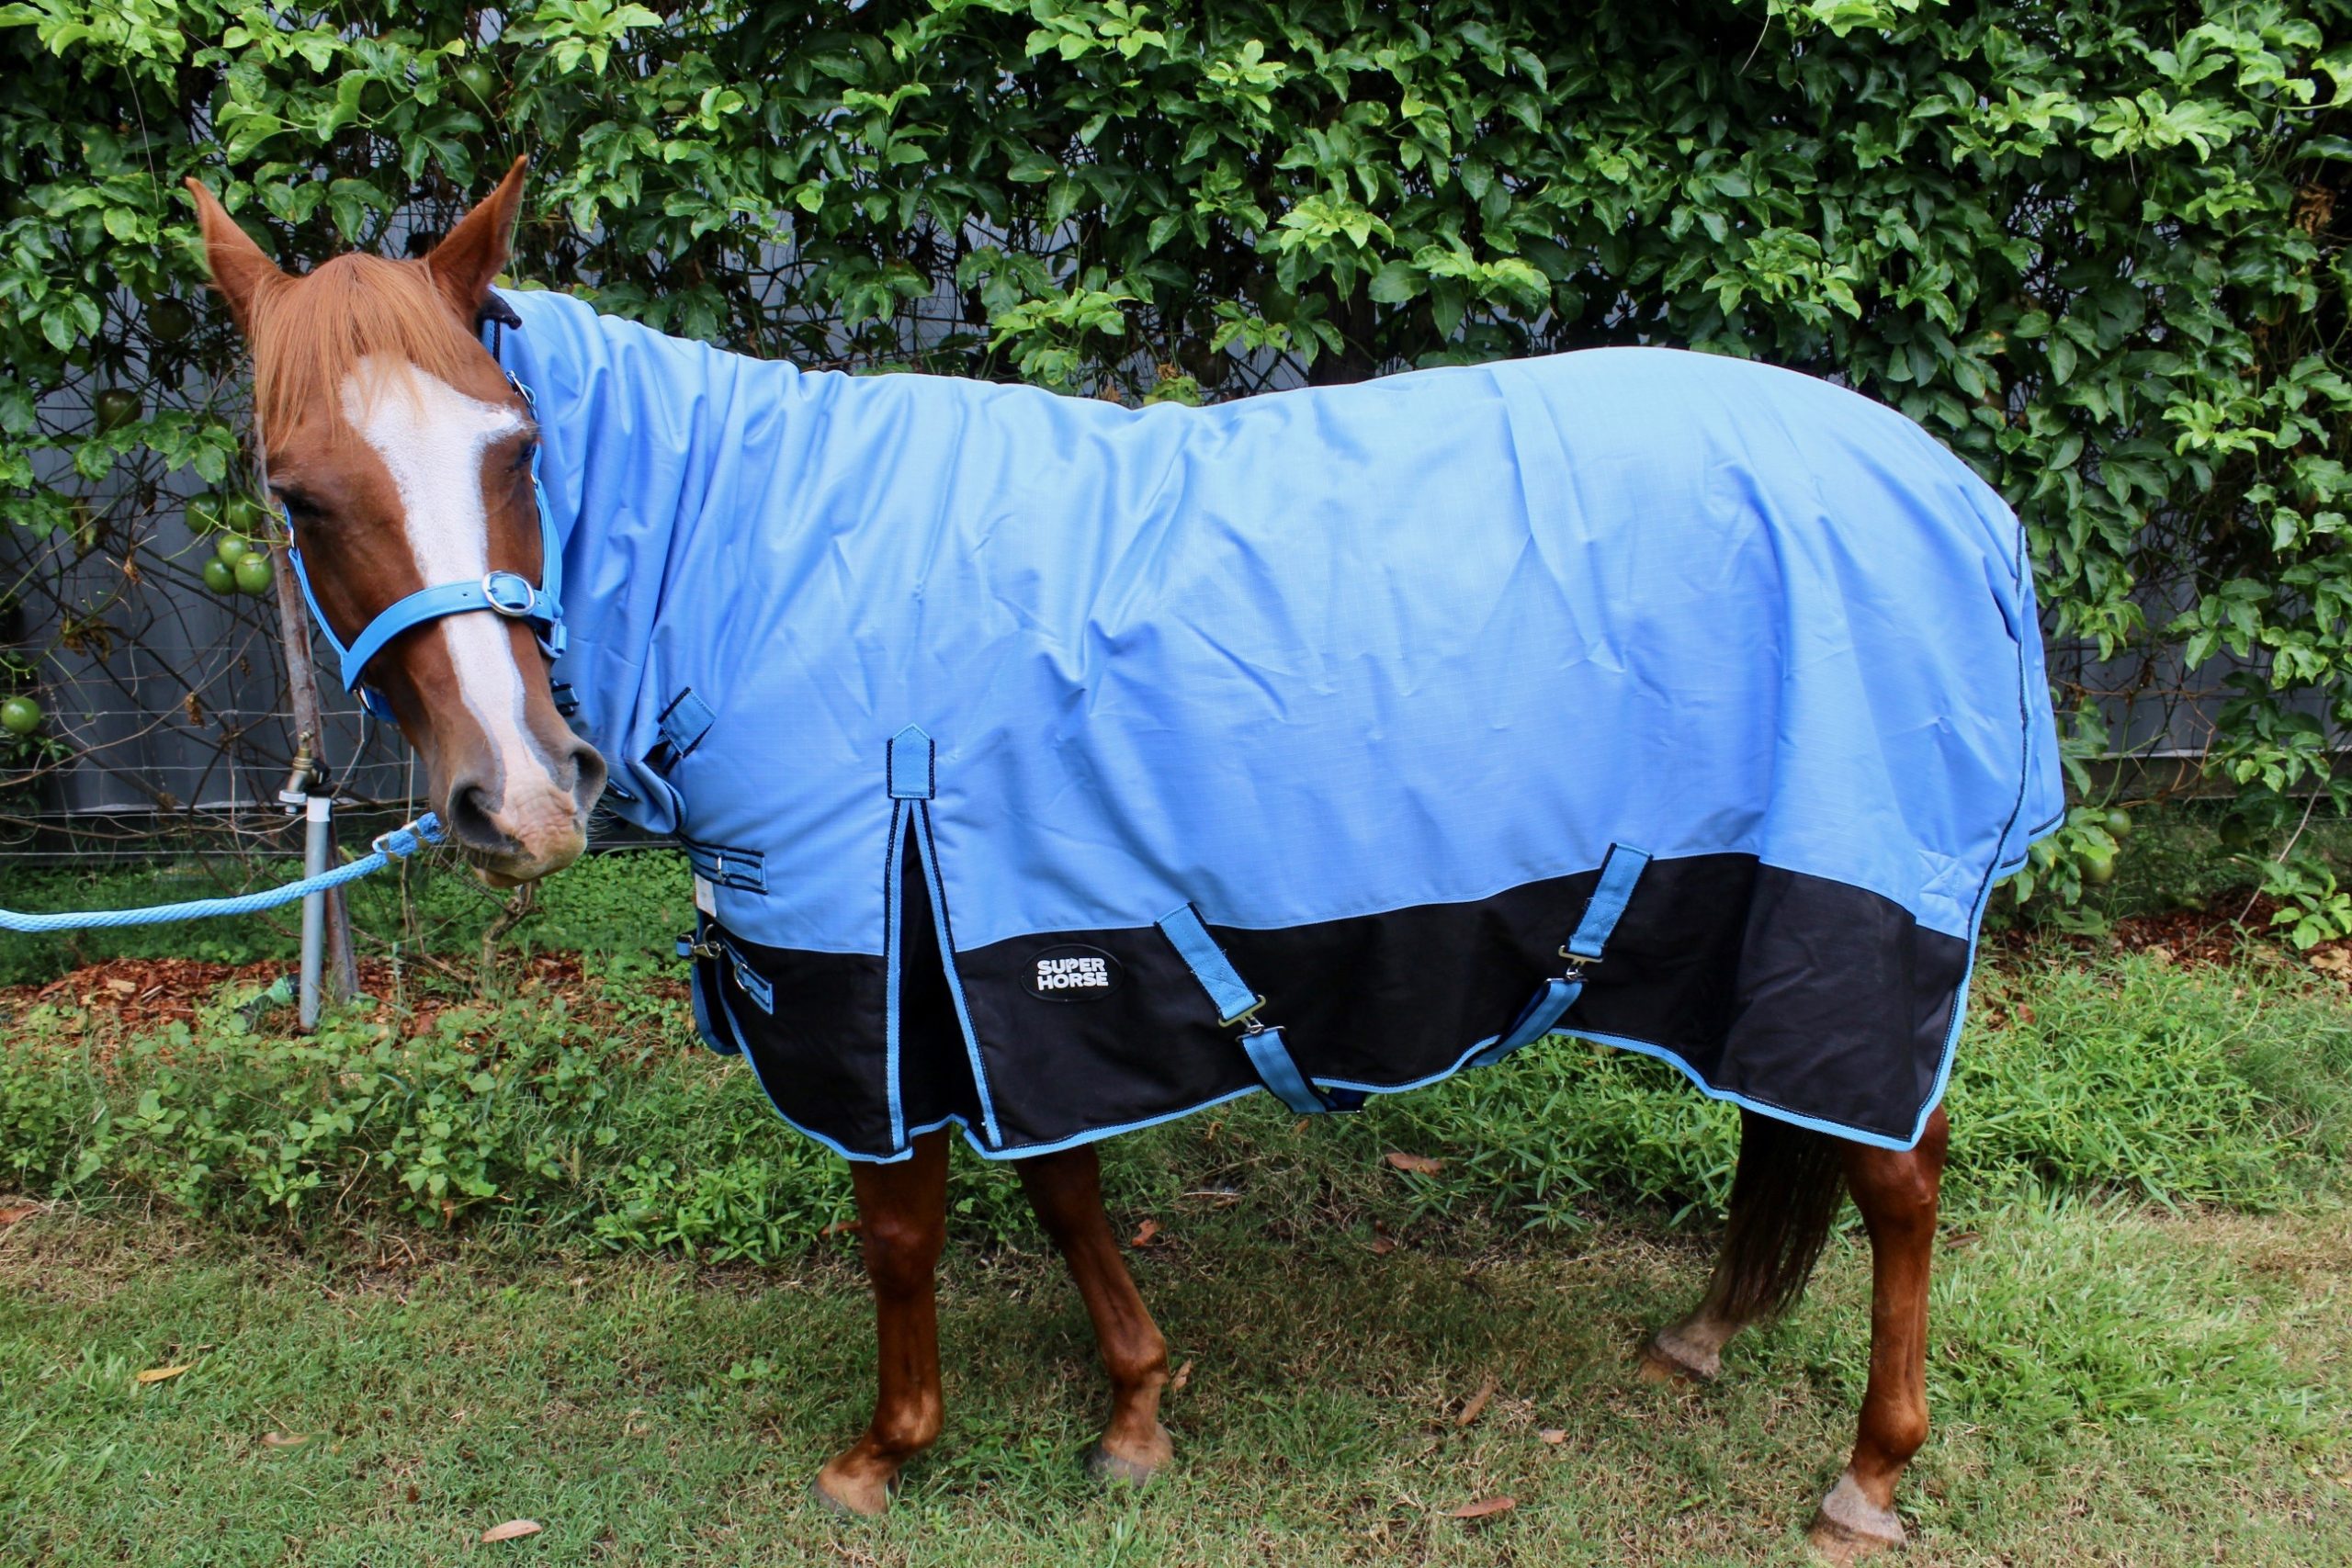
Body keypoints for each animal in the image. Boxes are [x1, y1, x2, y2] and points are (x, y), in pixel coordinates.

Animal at [185, 158, 2061, 1558]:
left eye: (512, 450)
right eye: (298, 492)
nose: (520, 797)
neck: (774, 552)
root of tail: (1962, 503)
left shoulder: (875, 960)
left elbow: (906, 1230)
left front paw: (885, 1450)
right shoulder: (1004, 937)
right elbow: (1066, 1182)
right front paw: (1138, 1411)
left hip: (1853, 912)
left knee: (1899, 1173)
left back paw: (1870, 1470)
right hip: (1739, 919)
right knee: (1794, 1130)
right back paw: (1706, 1334)